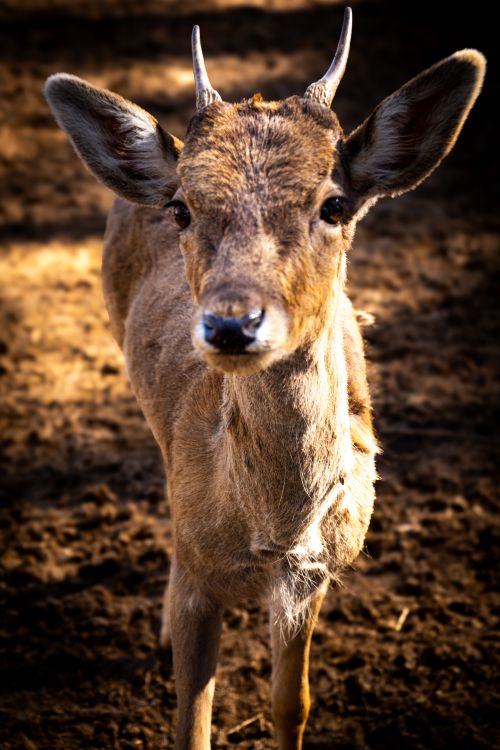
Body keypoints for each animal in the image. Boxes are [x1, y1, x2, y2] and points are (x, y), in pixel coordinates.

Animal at [44, 8, 485, 749]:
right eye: (184, 209)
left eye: (334, 205)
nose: (232, 324)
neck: (274, 530)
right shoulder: (202, 576)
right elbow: (190, 718)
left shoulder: (314, 574)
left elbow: (292, 702)